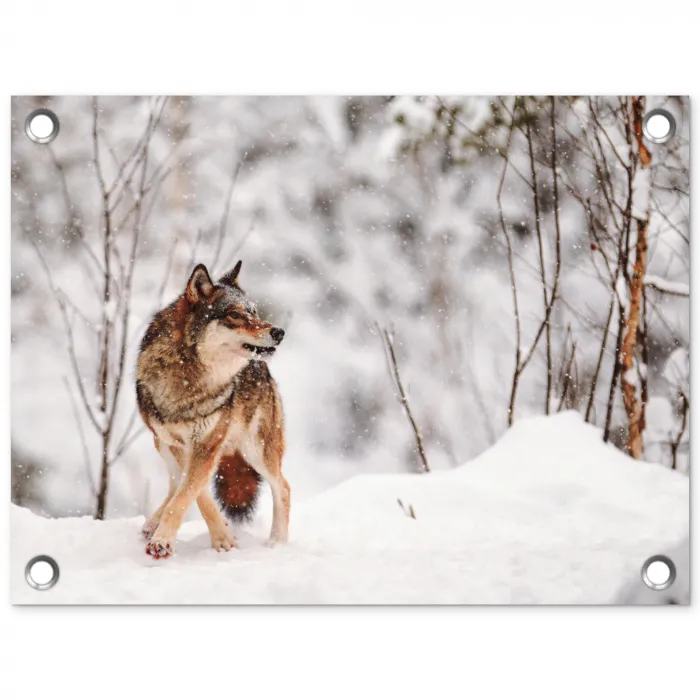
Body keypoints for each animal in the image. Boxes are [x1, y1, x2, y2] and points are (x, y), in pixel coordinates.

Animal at [135, 260, 289, 559]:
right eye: (235, 315)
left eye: (254, 312)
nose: (278, 332)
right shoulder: (180, 444)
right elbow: (194, 493)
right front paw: (223, 536)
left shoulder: (206, 444)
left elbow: (187, 494)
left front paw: (164, 542)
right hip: (161, 443)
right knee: (173, 484)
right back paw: (152, 523)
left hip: (257, 450)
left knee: (283, 487)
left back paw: (277, 543)